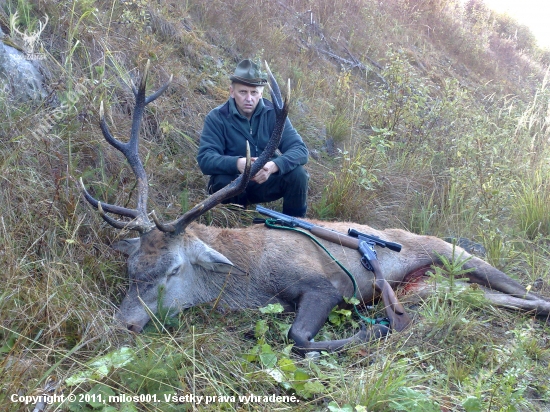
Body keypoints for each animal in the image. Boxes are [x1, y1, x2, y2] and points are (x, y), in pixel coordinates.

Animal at [81, 61, 550, 354]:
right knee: (493, 299)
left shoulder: (327, 285)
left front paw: (374, 333)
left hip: (452, 253)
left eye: (174, 269)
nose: (123, 324)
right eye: (131, 269)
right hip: (433, 286)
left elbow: (298, 337)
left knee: (524, 291)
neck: (250, 279)